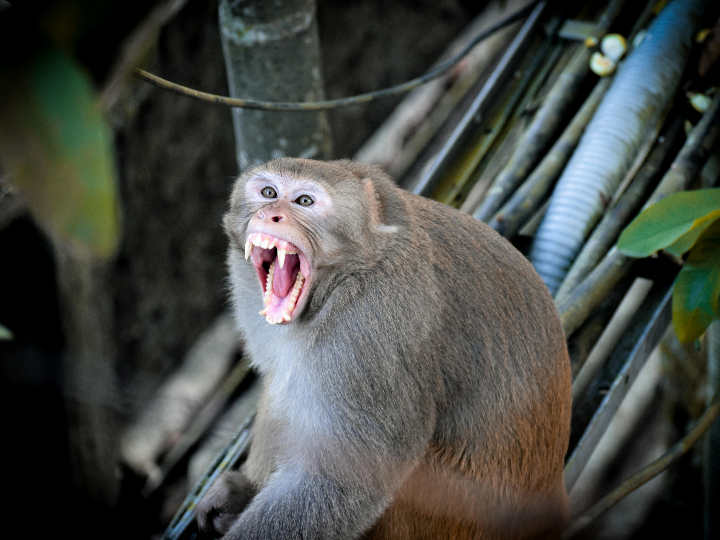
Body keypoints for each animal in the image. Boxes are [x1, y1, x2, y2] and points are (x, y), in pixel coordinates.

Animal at [197, 158, 572, 540]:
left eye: (304, 201)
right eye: (269, 192)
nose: (270, 214)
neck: (355, 270)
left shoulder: (371, 331)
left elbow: (340, 480)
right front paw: (238, 493)